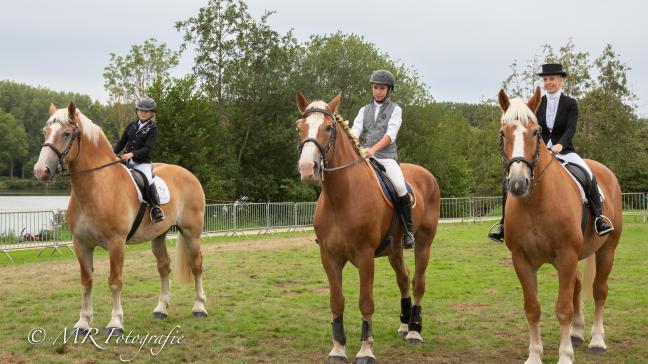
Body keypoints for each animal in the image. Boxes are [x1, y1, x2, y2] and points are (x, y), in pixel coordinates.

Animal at [33, 101, 208, 336]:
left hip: (192, 232)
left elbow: (115, 281)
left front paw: (115, 323)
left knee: (197, 265)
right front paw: (83, 323)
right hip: (158, 235)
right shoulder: (81, 244)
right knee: (164, 267)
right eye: (45, 131)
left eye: (67, 133)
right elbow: (86, 282)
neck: (97, 187)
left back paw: (199, 307)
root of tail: (188, 174)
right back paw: (161, 310)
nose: (41, 171)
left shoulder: (116, 243)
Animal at [294, 93, 440, 364]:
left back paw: (414, 331)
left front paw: (365, 349)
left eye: (328, 128)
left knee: (418, 282)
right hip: (395, 250)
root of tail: (426, 174)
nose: (308, 168)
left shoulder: (365, 256)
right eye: (300, 127)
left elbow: (365, 302)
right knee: (404, 279)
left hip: (424, 244)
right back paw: (404, 325)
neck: (341, 198)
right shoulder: (329, 257)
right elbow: (337, 301)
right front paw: (338, 348)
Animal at [496, 88, 624, 364]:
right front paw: (534, 355)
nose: (518, 184)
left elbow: (563, 309)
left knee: (599, 290)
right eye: (502, 133)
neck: (535, 201)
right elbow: (532, 309)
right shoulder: (521, 260)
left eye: (536, 132)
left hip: (607, 249)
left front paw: (565, 356)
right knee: (578, 285)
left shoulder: (566, 257)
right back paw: (576, 333)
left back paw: (597, 341)